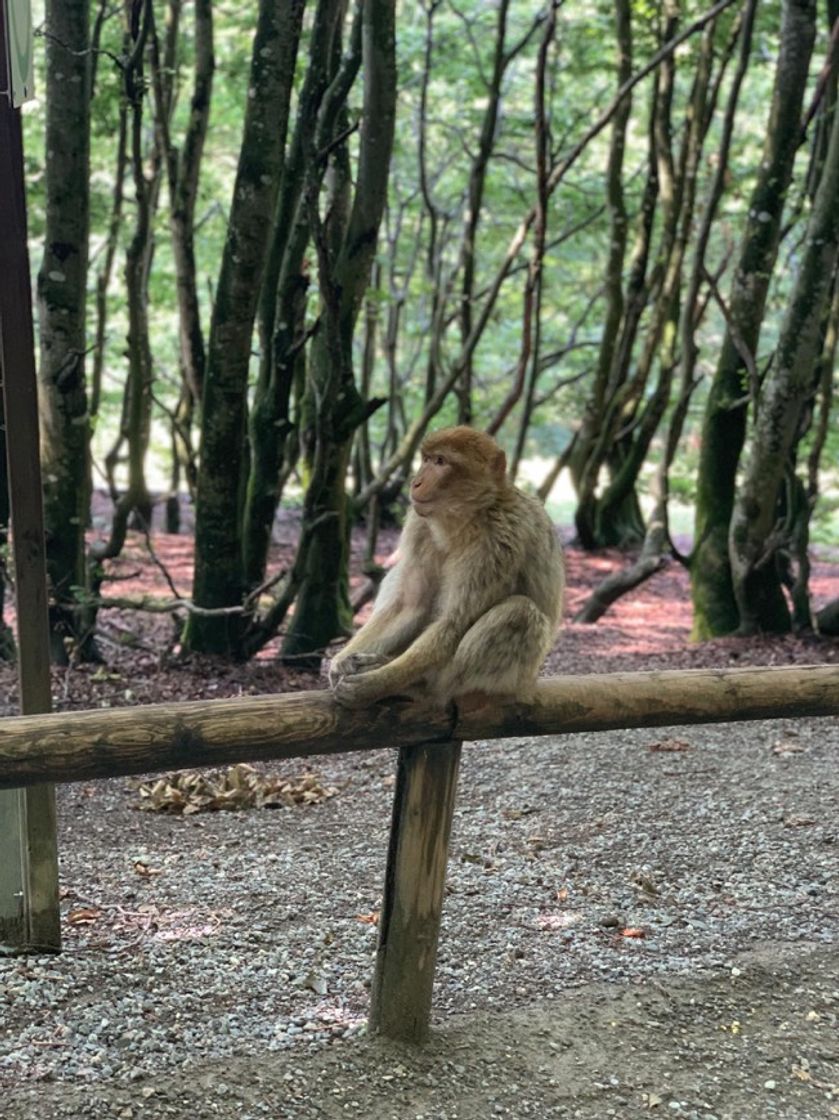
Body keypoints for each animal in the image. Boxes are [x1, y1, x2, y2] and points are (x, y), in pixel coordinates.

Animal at [329, 423, 562, 703]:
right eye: (427, 459)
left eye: (441, 462)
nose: (415, 482)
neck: (467, 518)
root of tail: (529, 685)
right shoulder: (419, 527)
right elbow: (410, 606)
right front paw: (340, 661)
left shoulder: (497, 542)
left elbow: (453, 622)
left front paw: (377, 683)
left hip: (510, 679)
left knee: (519, 612)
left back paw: (420, 685)